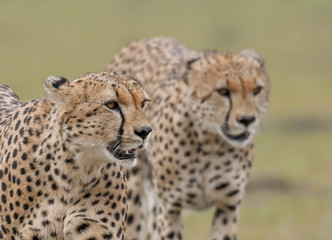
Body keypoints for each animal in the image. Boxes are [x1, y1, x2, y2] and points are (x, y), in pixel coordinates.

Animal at [109, 37, 270, 240]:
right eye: (223, 91)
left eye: (256, 90)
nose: (248, 120)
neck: (210, 142)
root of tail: (146, 40)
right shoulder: (170, 209)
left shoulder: (228, 206)